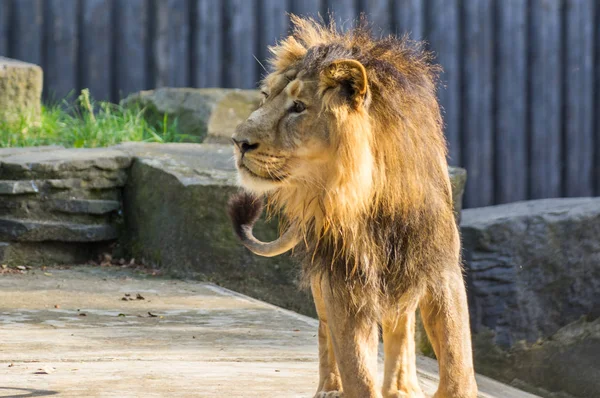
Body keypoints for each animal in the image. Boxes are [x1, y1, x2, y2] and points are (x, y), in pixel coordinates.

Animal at [227, 16, 476, 398]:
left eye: (298, 107)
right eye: (266, 97)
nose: (238, 142)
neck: (370, 195)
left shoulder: (437, 264)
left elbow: (457, 358)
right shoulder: (342, 276)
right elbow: (356, 367)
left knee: (400, 321)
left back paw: (402, 387)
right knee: (325, 329)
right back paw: (330, 388)